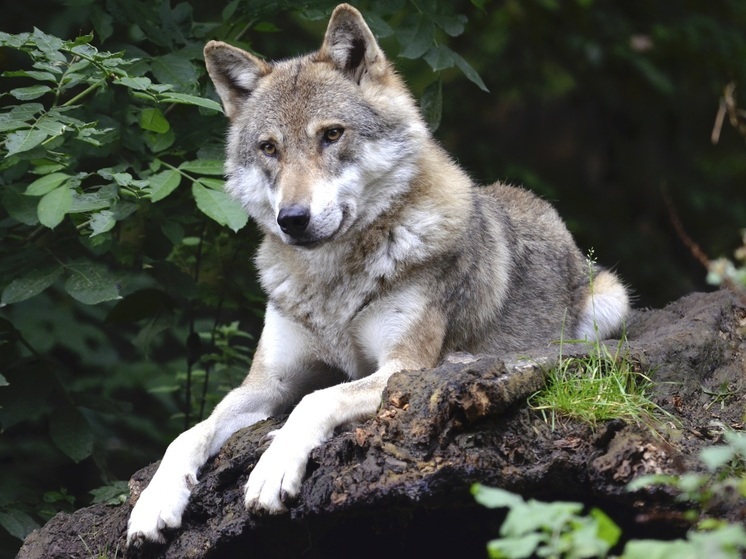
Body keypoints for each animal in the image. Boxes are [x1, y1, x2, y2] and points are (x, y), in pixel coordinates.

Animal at [126, 3, 628, 548]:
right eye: (269, 148)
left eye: (331, 134)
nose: (292, 219)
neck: (331, 284)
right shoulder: (266, 382)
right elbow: (189, 433)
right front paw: (154, 502)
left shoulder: (399, 368)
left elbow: (316, 400)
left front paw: (272, 468)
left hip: (610, 302)